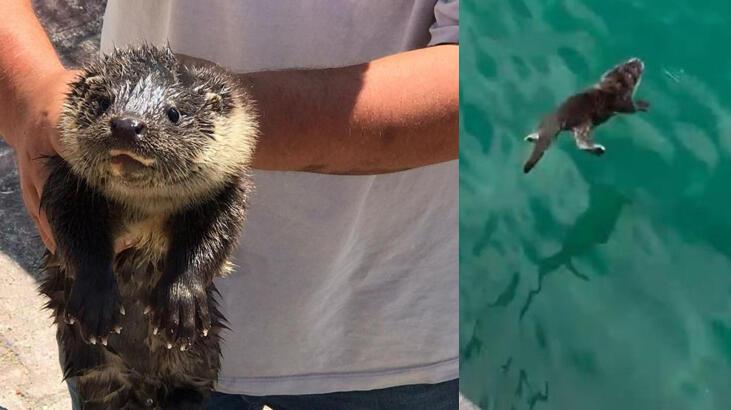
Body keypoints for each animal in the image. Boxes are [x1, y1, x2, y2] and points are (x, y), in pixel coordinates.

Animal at [39, 45, 260, 410]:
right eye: (103, 102)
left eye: (174, 113)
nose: (127, 125)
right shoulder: (65, 184)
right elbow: (76, 237)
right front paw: (96, 303)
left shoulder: (228, 193)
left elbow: (212, 241)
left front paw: (181, 304)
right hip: (95, 367)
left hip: (199, 355)